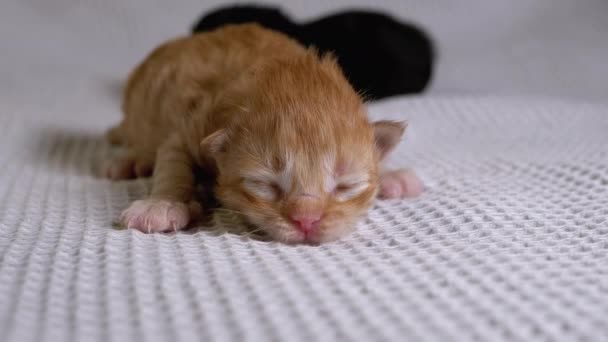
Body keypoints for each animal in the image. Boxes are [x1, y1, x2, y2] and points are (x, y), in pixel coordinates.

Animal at [104, 23, 422, 243]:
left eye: (346, 185)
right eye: (265, 183)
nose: (307, 221)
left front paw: (391, 174)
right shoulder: (187, 128)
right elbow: (173, 165)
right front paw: (162, 205)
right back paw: (128, 162)